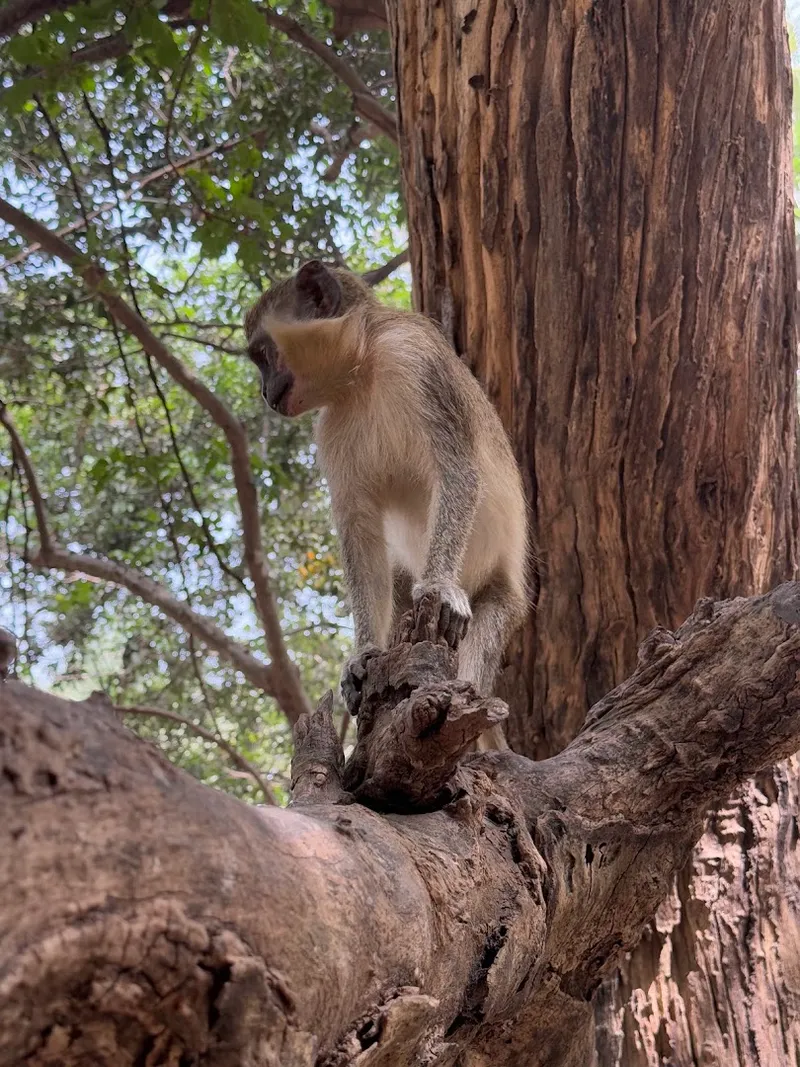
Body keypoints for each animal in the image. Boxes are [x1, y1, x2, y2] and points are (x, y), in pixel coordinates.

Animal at [244, 261, 528, 749]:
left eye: (263, 354)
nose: (264, 392)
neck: (362, 369)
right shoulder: (329, 430)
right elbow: (360, 530)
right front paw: (364, 653)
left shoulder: (415, 358)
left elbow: (458, 471)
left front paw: (439, 586)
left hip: (503, 598)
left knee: (482, 632)